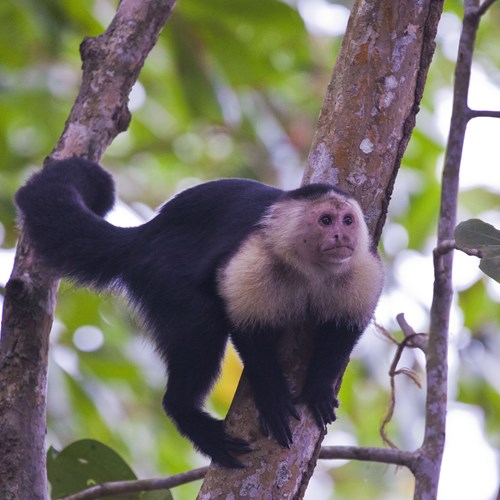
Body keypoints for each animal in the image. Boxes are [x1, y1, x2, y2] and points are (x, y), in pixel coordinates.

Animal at [14, 158, 382, 466]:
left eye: (348, 220)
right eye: (325, 220)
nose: (341, 235)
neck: (310, 269)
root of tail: (144, 235)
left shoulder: (362, 266)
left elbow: (346, 326)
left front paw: (319, 386)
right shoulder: (255, 258)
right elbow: (246, 323)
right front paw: (273, 396)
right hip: (160, 272)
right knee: (200, 321)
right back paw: (185, 411)